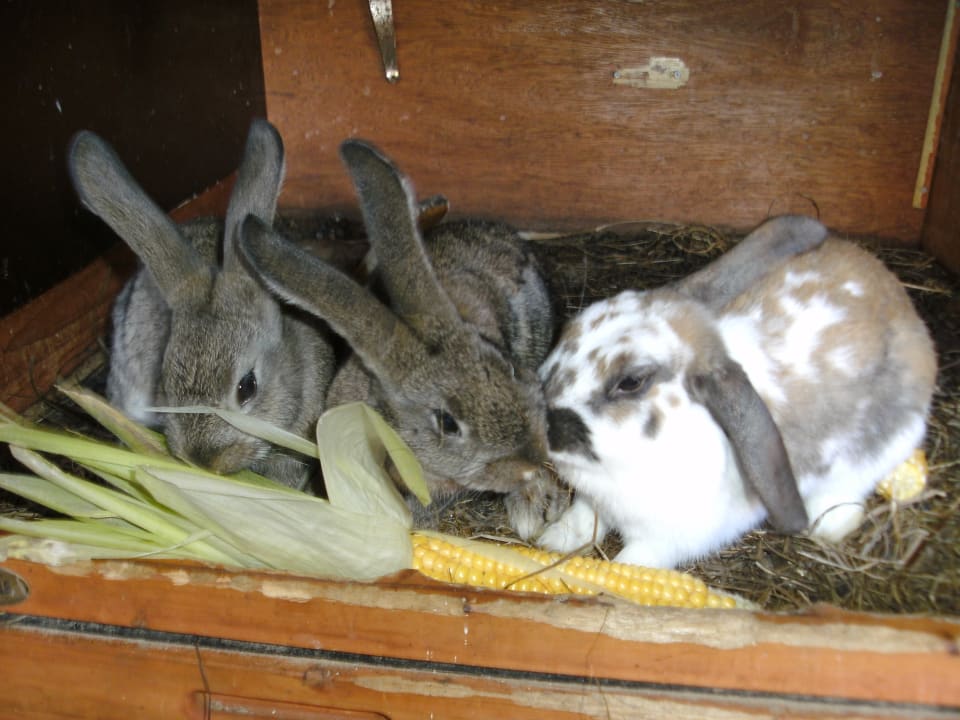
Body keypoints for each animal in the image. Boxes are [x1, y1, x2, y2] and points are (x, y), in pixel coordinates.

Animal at [537, 215, 937, 569]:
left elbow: (633, 565)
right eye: (569, 329)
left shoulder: (664, 542)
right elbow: (580, 522)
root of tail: (900, 300)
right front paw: (550, 542)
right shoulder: (592, 502)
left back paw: (829, 525)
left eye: (631, 381)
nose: (543, 420)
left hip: (881, 448)